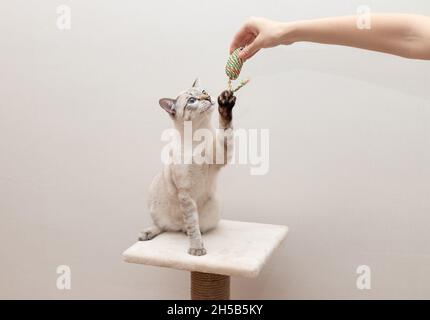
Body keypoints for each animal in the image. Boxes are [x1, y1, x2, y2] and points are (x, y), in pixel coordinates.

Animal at [139, 79, 235, 256]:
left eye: (203, 91)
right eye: (192, 100)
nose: (207, 97)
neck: (198, 138)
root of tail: (177, 227)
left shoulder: (221, 155)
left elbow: (225, 126)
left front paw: (225, 103)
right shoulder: (185, 193)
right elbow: (192, 224)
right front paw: (197, 249)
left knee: (186, 228)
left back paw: (184, 232)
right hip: (154, 203)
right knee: (164, 226)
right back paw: (146, 233)